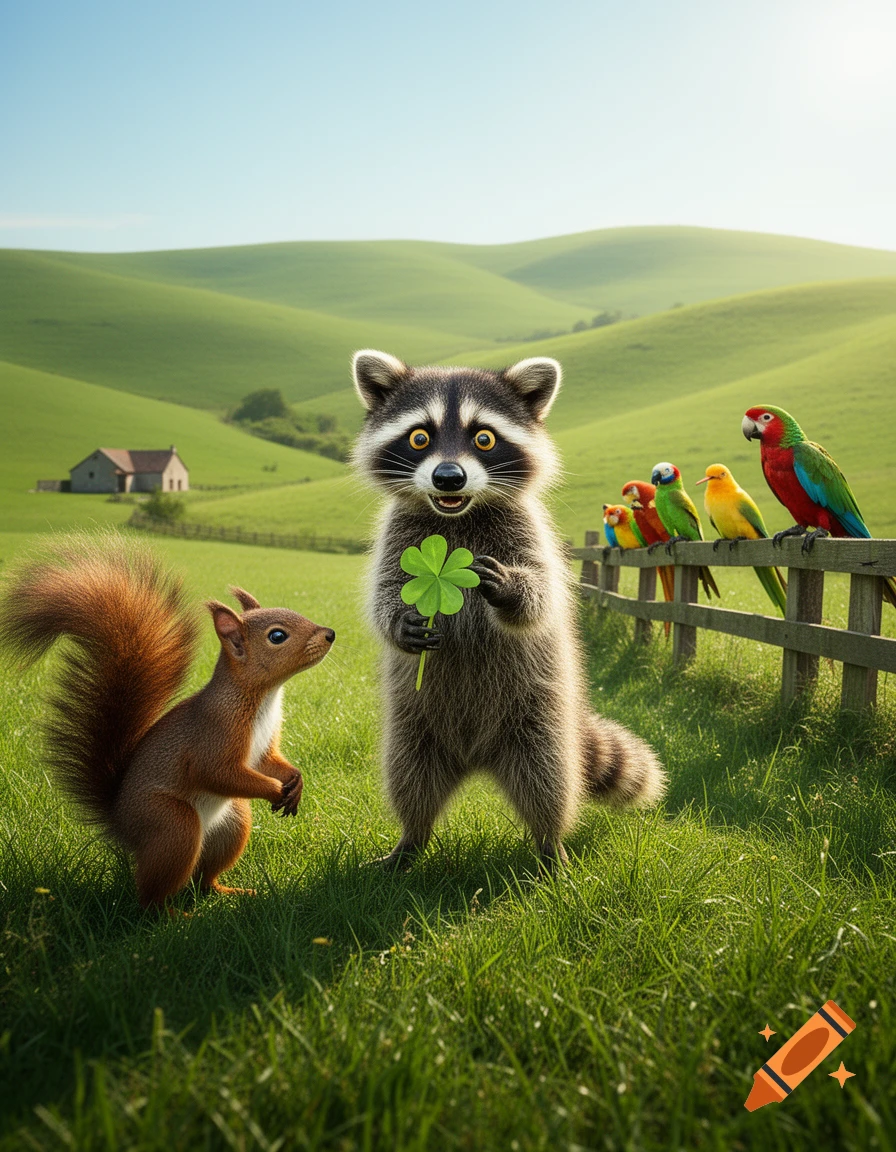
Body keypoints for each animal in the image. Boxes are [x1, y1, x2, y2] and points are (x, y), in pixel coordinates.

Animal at [0, 535, 335, 908]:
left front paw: (295, 781)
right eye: (277, 636)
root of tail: (121, 823)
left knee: (203, 880)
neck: (263, 697)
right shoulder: (215, 732)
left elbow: (269, 762)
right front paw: (276, 790)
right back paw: (176, 915)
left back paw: (231, 892)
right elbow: (215, 772)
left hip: (233, 823)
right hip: (172, 824)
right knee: (152, 898)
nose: (330, 634)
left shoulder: (263, 747)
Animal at [353, 349, 666, 870]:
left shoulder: (528, 531)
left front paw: (513, 591)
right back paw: (410, 838)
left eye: (484, 438)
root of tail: (475, 756)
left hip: (539, 721)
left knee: (549, 784)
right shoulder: (398, 536)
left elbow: (540, 596)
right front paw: (400, 623)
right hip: (414, 727)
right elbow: (386, 593)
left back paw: (551, 844)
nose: (448, 477)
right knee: (410, 779)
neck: (457, 513)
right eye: (419, 437)